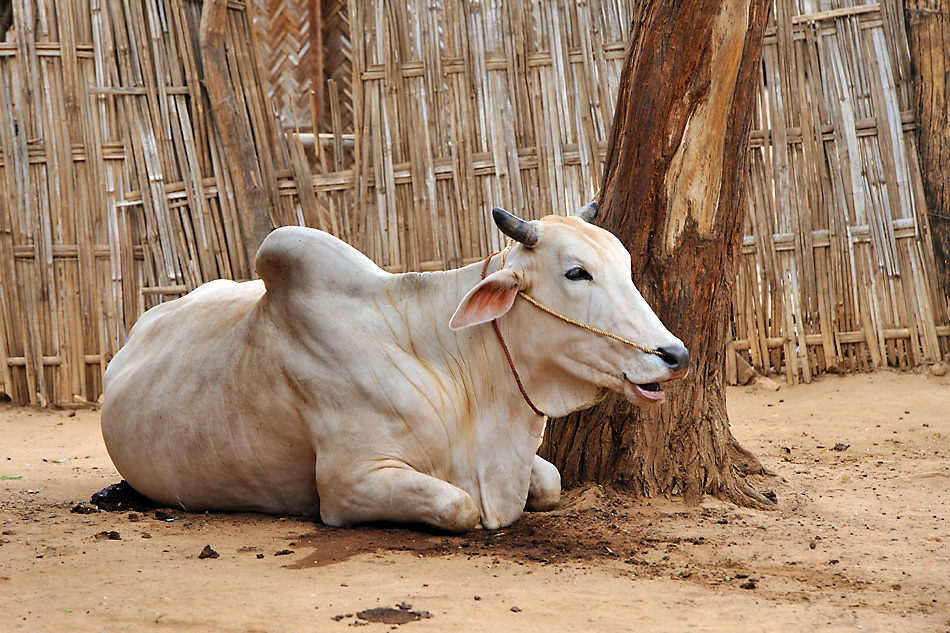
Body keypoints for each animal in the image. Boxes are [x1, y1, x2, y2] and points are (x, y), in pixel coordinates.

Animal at [102, 205, 684, 532]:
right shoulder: (350, 482)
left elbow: (550, 481)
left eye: (625, 265)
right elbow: (459, 507)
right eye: (576, 272)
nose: (674, 355)